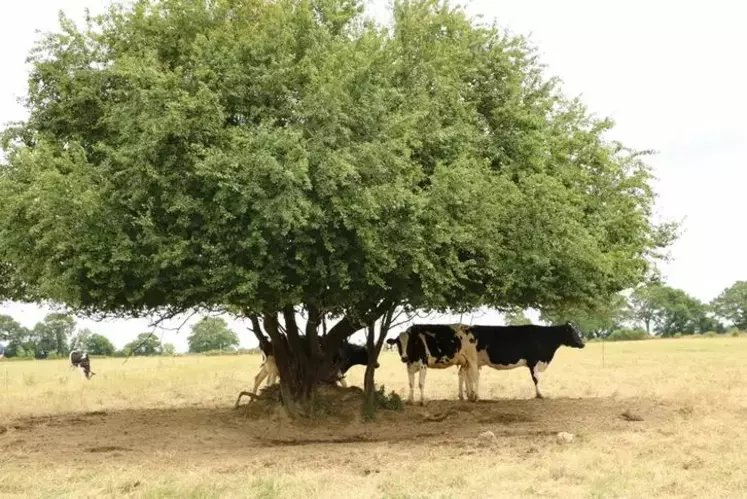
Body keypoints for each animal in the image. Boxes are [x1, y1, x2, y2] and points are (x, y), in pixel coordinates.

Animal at [458, 322, 588, 400]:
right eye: (573, 332)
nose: (583, 344)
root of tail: (467, 328)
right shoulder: (533, 361)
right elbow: (536, 379)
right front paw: (539, 395)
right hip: (471, 360)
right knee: (467, 375)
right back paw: (470, 395)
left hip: (467, 362)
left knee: (463, 374)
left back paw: (465, 395)